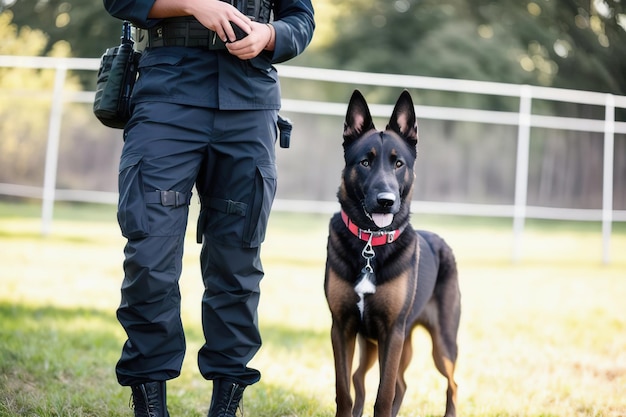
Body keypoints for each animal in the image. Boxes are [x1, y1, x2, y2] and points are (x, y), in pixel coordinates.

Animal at [324, 89, 460, 414]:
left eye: (399, 164)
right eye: (365, 162)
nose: (386, 201)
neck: (371, 243)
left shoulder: (392, 332)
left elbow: (384, 395)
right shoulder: (342, 328)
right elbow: (344, 389)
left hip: (442, 345)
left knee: (451, 384)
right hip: (375, 345)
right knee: (368, 379)